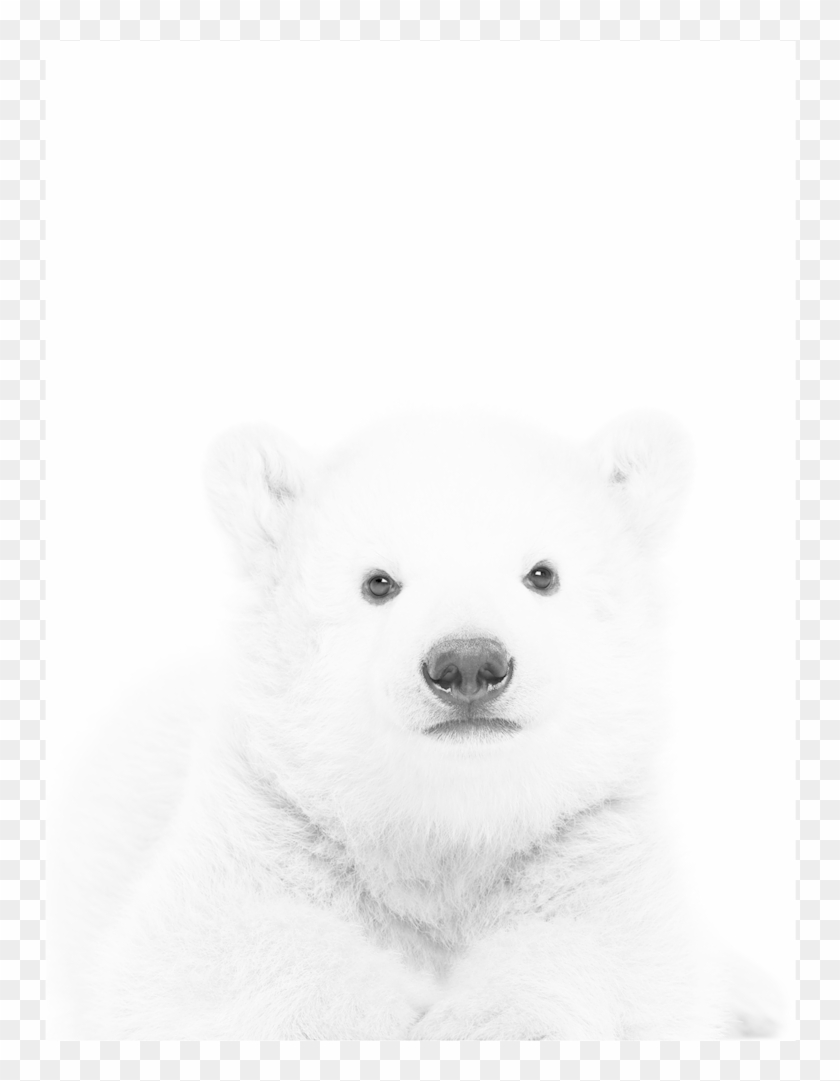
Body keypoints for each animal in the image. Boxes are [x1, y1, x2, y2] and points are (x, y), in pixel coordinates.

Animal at [48, 410, 780, 1039]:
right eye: (379, 582)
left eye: (542, 573)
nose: (469, 664)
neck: (441, 831)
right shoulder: (267, 816)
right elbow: (196, 957)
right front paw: (372, 1021)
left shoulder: (592, 836)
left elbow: (626, 958)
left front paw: (485, 1025)